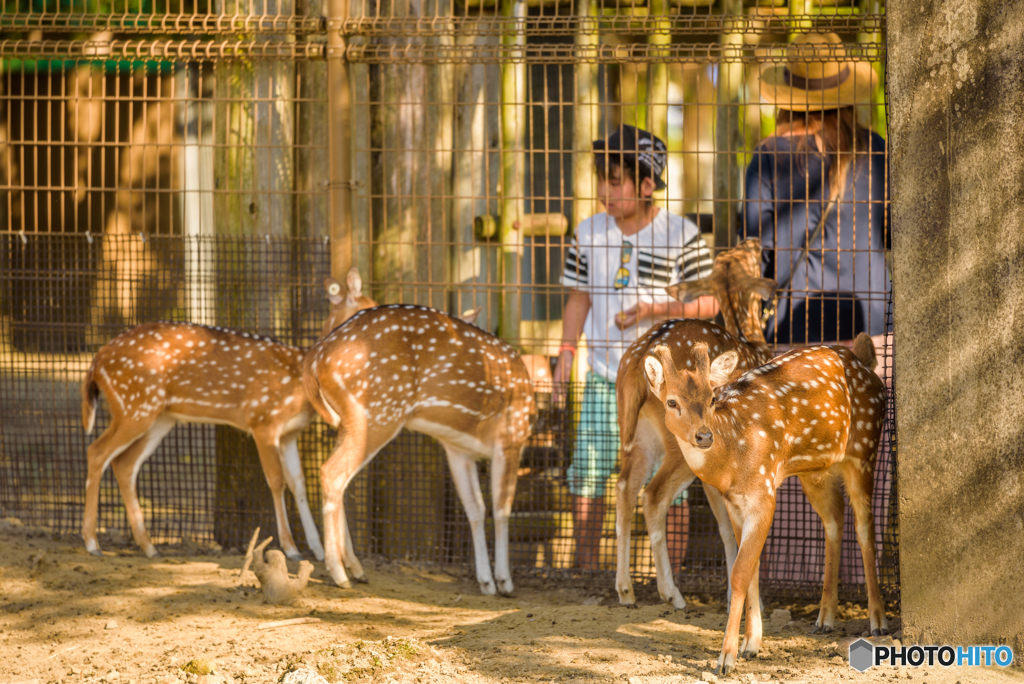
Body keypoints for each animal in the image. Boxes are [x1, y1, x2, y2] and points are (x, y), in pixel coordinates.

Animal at [79, 266, 376, 561]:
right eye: (367, 309)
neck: (299, 375)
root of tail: (96, 361)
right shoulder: (263, 420)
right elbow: (276, 481)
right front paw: (291, 548)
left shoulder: (289, 432)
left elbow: (298, 484)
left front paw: (318, 550)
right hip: (134, 405)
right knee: (97, 451)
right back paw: (92, 543)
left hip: (159, 417)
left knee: (125, 464)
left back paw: (149, 547)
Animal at [299, 303, 536, 593]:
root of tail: (316, 357)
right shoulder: (511, 437)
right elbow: (502, 509)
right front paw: (504, 582)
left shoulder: (458, 449)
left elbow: (475, 509)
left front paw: (487, 583)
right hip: (378, 413)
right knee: (331, 473)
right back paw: (339, 574)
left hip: (351, 422)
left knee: (340, 479)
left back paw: (356, 569)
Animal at [610, 239, 770, 610]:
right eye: (751, 260)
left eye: (731, 256)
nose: (754, 241)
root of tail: (636, 362)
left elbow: (726, 525)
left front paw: (731, 593)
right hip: (679, 442)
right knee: (653, 495)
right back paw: (671, 592)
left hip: (637, 434)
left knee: (624, 486)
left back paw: (626, 590)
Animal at [643, 335, 884, 671]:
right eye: (672, 402)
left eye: (712, 398)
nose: (704, 436)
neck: (731, 461)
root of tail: (864, 361)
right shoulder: (735, 504)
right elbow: (753, 569)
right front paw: (752, 644)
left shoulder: (764, 491)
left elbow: (740, 572)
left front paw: (726, 657)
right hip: (814, 471)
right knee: (834, 520)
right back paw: (824, 619)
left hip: (864, 450)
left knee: (864, 528)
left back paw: (877, 622)